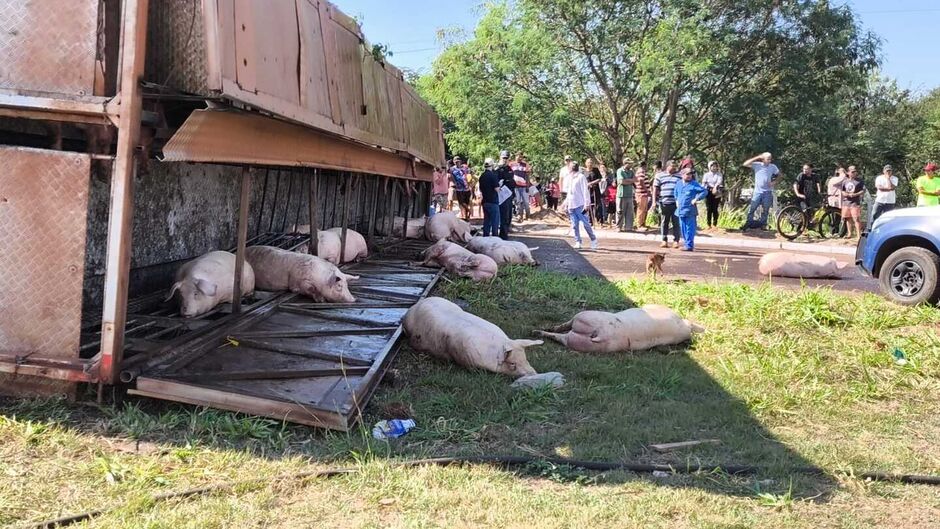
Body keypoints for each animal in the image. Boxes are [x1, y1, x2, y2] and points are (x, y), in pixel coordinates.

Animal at [536, 304, 704, 352]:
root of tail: (600, 333)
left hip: (583, 316)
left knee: (563, 328)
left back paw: (539, 331)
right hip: (583, 343)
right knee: (562, 336)